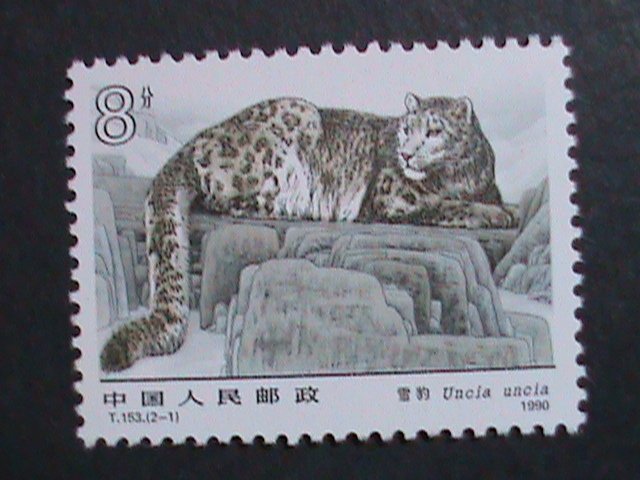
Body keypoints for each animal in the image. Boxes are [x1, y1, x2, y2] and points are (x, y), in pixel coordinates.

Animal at [99, 93, 514, 372]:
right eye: (405, 129)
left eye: (434, 130)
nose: (408, 154)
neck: (460, 176)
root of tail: (196, 141)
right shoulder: (392, 198)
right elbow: (450, 206)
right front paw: (500, 214)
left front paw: (500, 206)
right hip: (283, 137)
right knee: (228, 197)